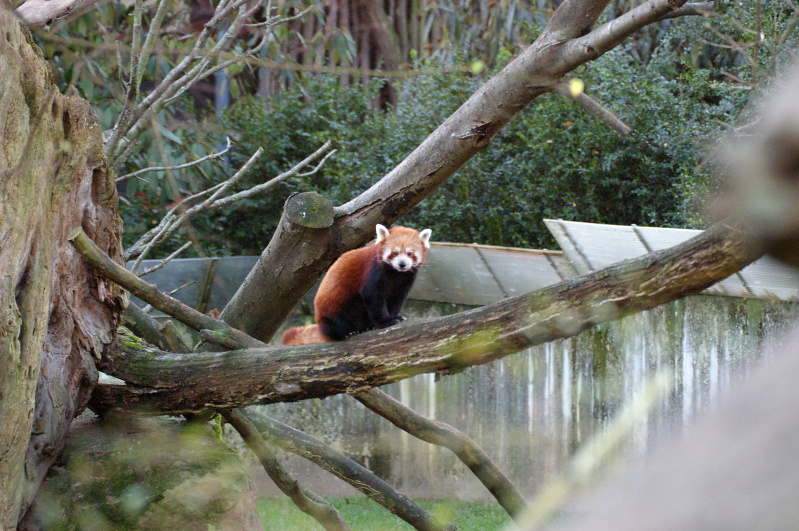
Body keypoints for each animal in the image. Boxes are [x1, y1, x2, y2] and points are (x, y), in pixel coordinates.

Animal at [282, 223, 432, 344]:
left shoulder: (405, 281)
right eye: (394, 253)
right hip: (334, 310)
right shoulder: (374, 272)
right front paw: (386, 322)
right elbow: (373, 297)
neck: (396, 273)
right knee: (337, 323)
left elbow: (396, 300)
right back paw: (345, 333)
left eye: (410, 253)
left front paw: (393, 317)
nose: (402, 264)